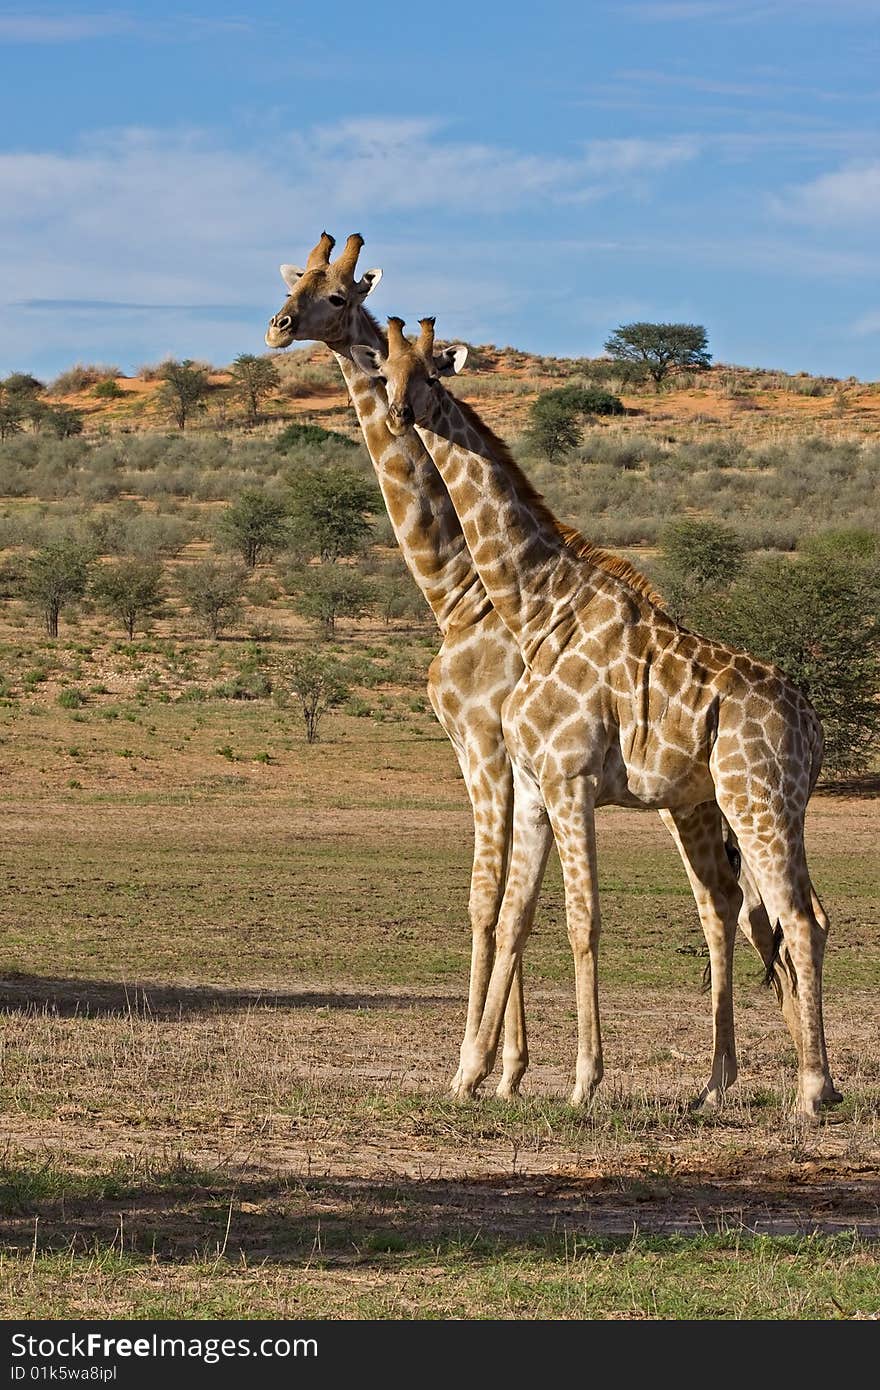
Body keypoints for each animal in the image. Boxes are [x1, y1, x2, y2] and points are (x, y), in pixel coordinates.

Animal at [350, 318, 839, 1117]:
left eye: (431, 373)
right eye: (383, 368)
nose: (397, 412)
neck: (537, 609)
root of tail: (814, 725)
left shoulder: (571, 778)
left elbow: (583, 921)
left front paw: (582, 1081)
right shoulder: (534, 785)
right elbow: (514, 915)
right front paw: (473, 1073)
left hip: (758, 800)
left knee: (794, 919)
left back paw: (812, 1090)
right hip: (752, 807)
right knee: (771, 915)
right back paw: (738, 1084)